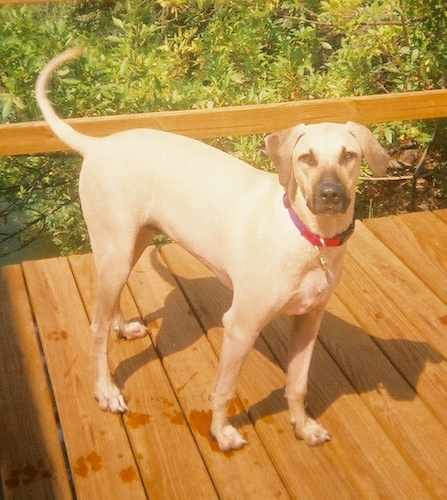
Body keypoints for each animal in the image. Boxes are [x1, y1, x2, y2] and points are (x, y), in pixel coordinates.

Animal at [36, 48, 390, 452]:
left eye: (349, 156)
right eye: (307, 158)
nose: (330, 195)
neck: (309, 239)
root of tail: (98, 145)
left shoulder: (308, 321)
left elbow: (297, 385)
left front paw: (304, 427)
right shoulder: (240, 326)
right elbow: (224, 389)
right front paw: (222, 433)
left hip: (128, 246)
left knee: (110, 305)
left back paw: (122, 327)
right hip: (116, 249)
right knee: (96, 327)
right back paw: (106, 391)